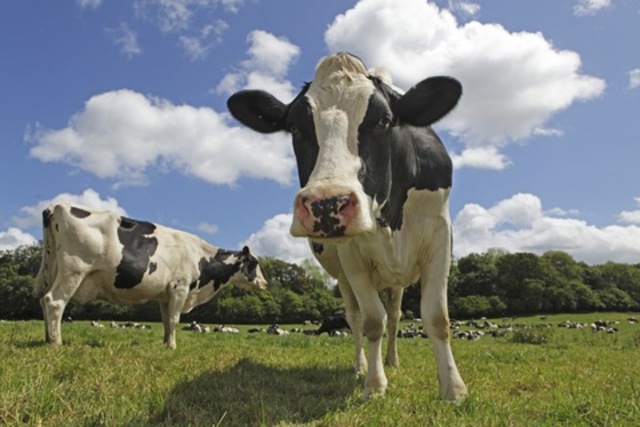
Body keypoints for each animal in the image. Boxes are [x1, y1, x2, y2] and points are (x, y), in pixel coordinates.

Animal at [33, 202, 267, 349]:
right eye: (255, 263)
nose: (264, 283)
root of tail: (57, 205)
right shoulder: (180, 287)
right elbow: (174, 319)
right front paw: (172, 346)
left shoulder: (165, 294)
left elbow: (165, 320)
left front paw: (165, 344)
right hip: (73, 271)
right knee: (54, 301)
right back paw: (56, 342)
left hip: (55, 269)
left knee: (44, 301)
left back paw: (47, 338)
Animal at [227, 52, 466, 401]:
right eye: (295, 128)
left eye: (383, 120)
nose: (326, 204)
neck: (388, 220)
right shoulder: (352, 257)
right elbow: (371, 321)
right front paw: (375, 385)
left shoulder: (438, 236)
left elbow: (436, 317)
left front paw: (453, 388)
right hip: (343, 277)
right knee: (357, 318)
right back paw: (361, 366)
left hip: (396, 280)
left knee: (395, 315)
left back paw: (392, 360)